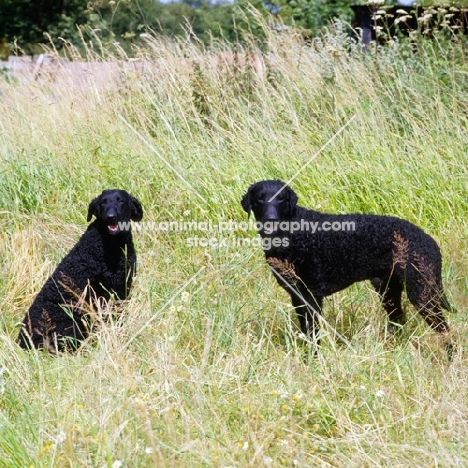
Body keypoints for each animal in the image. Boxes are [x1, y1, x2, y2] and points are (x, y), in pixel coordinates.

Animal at [17, 188, 143, 352]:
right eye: (103, 203)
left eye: (121, 200)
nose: (111, 217)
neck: (111, 243)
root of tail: (22, 341)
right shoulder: (115, 288)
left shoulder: (124, 285)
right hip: (70, 325)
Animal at [243, 179, 456, 354]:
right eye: (260, 198)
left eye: (281, 199)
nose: (270, 219)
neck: (292, 233)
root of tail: (430, 241)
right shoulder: (297, 295)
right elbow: (306, 330)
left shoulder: (313, 294)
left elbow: (313, 332)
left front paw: (313, 359)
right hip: (388, 290)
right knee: (399, 321)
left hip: (422, 293)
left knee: (444, 329)